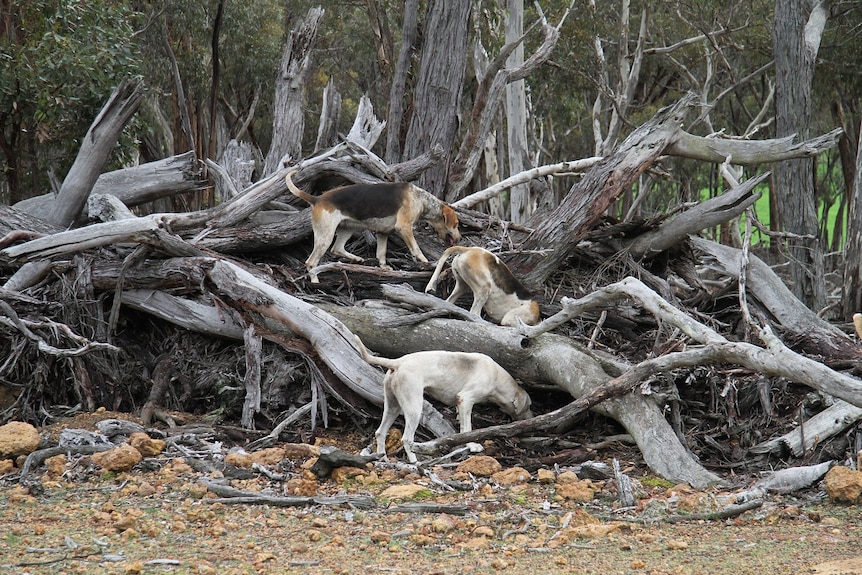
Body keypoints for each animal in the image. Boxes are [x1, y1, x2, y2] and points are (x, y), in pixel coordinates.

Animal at [356, 332, 532, 464]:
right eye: (529, 406)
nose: (532, 418)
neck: (496, 376)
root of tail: (398, 362)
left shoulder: (461, 405)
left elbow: (462, 426)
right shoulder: (466, 399)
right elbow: (468, 428)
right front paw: (472, 445)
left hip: (392, 406)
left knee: (380, 432)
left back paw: (383, 459)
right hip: (414, 408)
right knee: (406, 439)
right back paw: (414, 461)